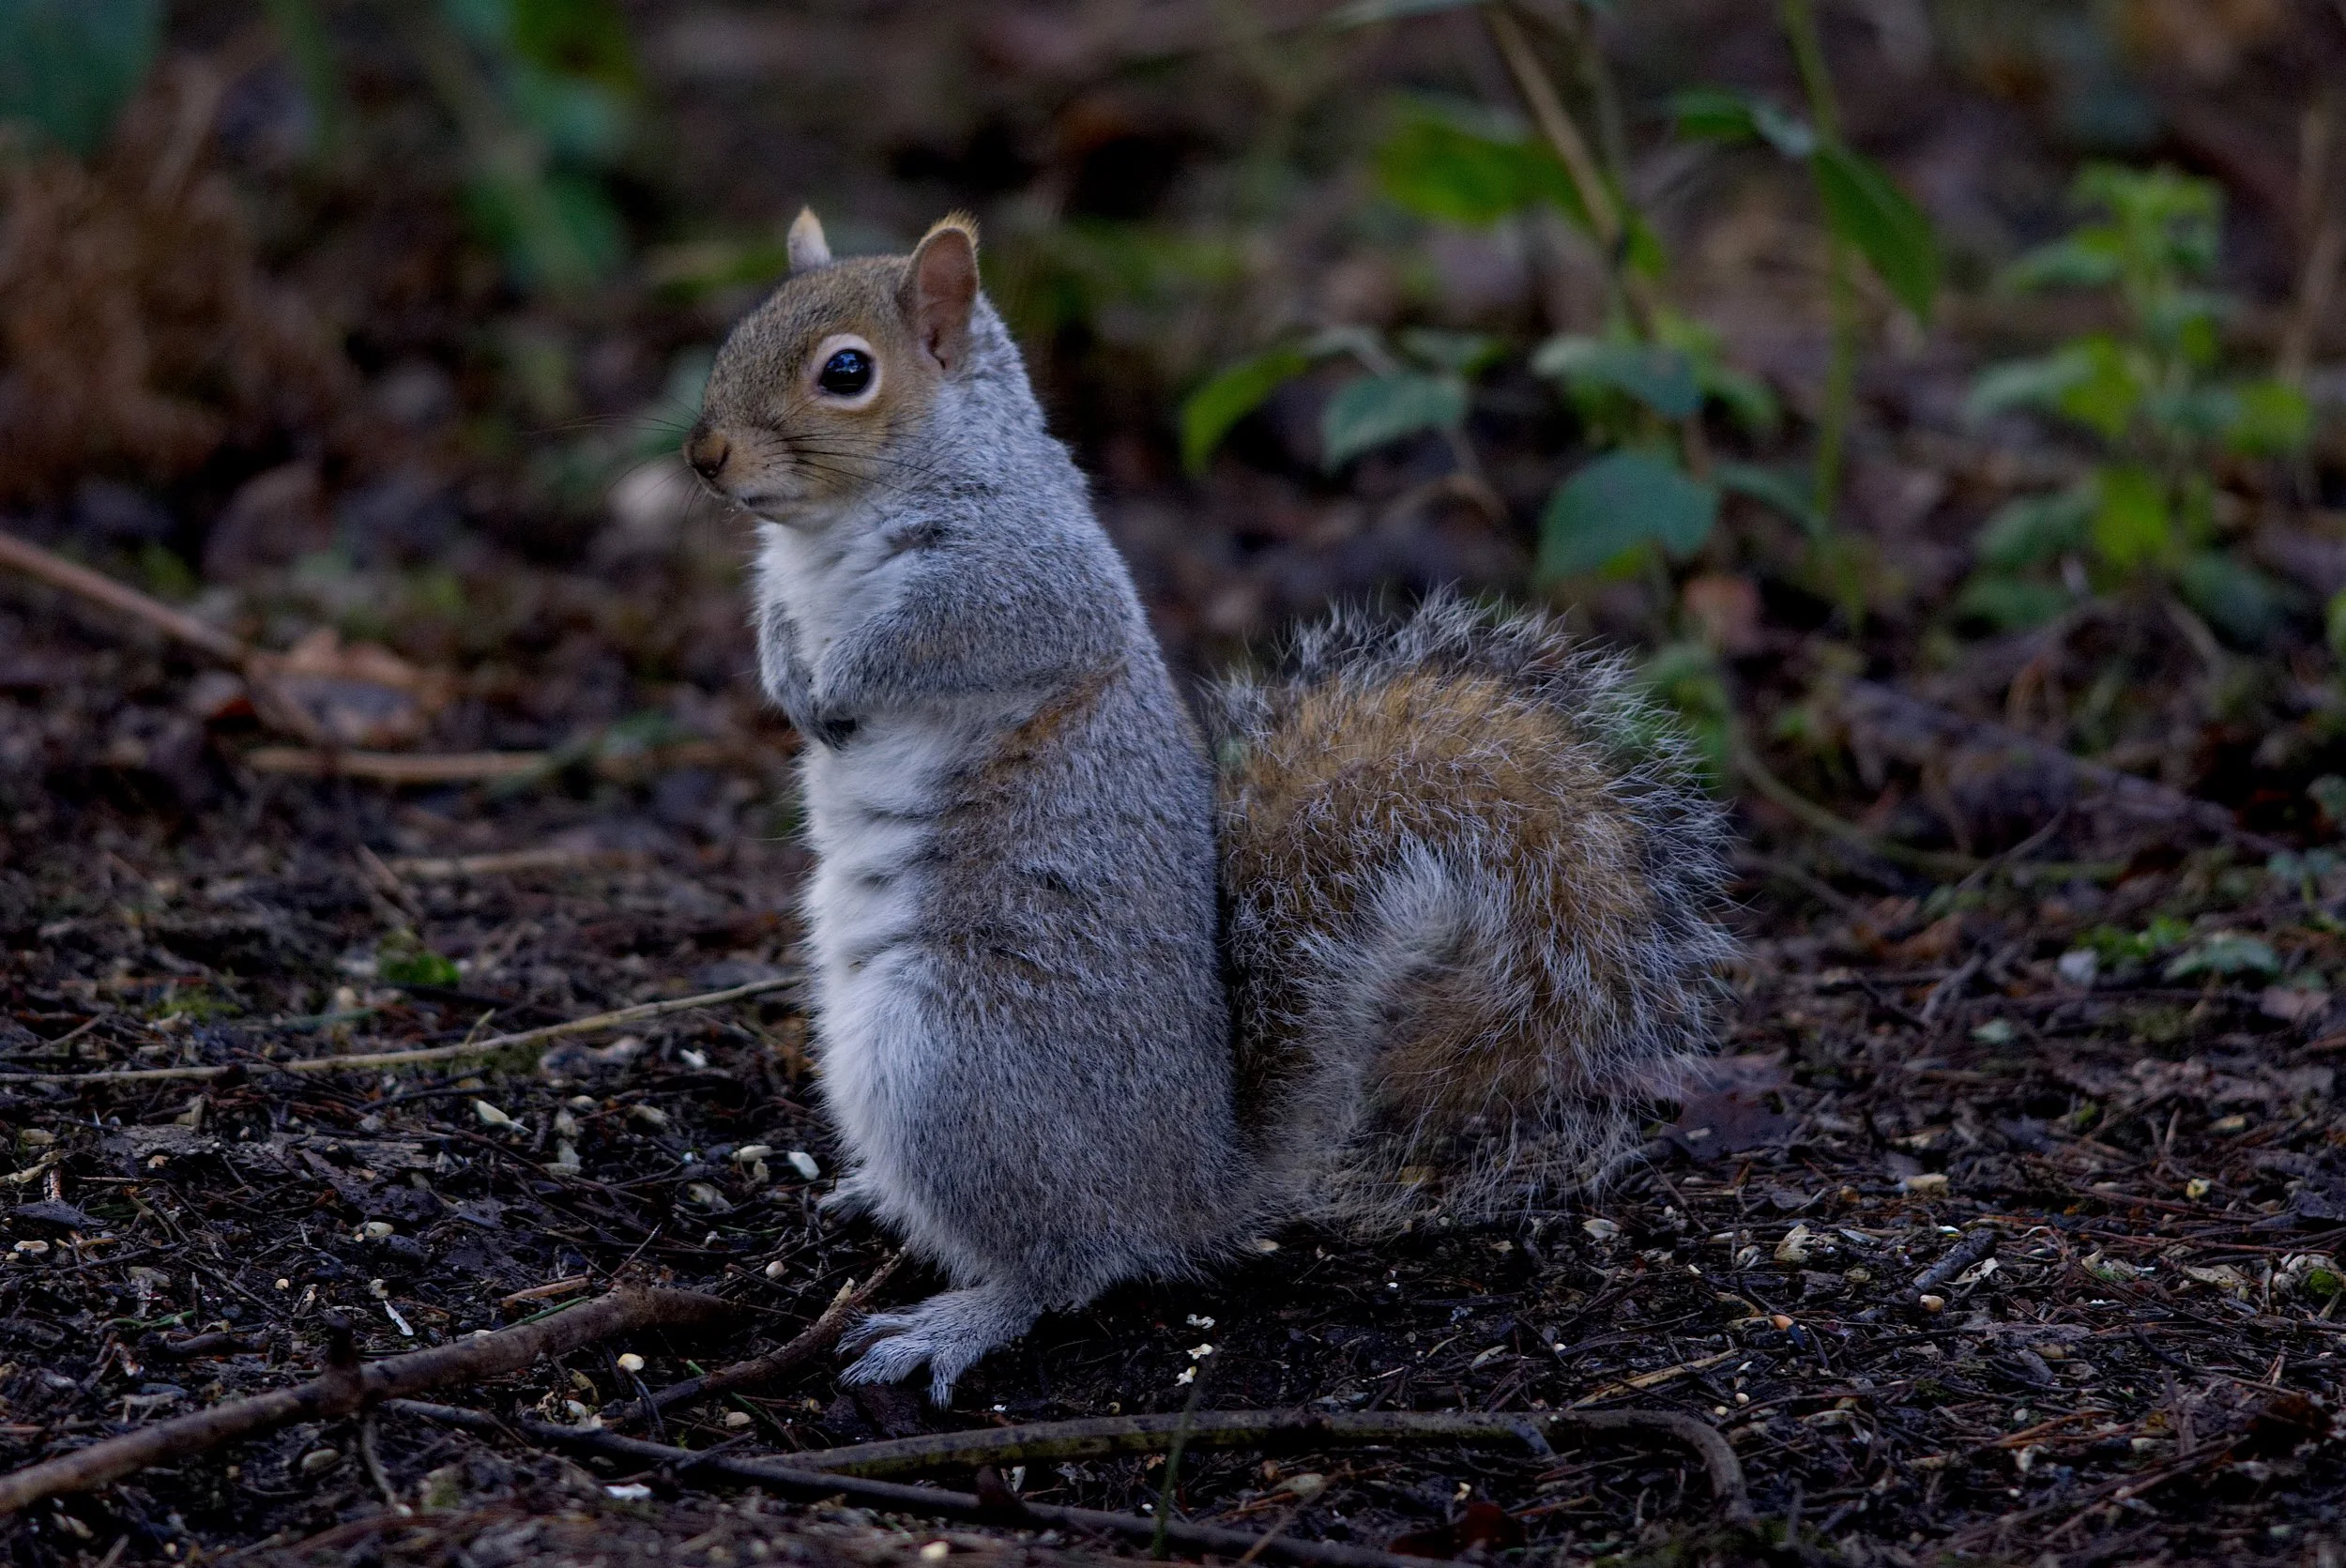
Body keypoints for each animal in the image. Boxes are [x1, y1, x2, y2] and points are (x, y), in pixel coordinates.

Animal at [684, 209, 1734, 1404]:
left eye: (846, 373)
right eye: (743, 327)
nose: (705, 456)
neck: (830, 532)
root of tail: (1196, 1185)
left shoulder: (1023, 584)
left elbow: (931, 645)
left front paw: (841, 684)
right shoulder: (785, 582)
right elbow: (776, 625)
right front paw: (791, 681)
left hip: (949, 1066)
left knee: (1069, 1265)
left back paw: (956, 1319)